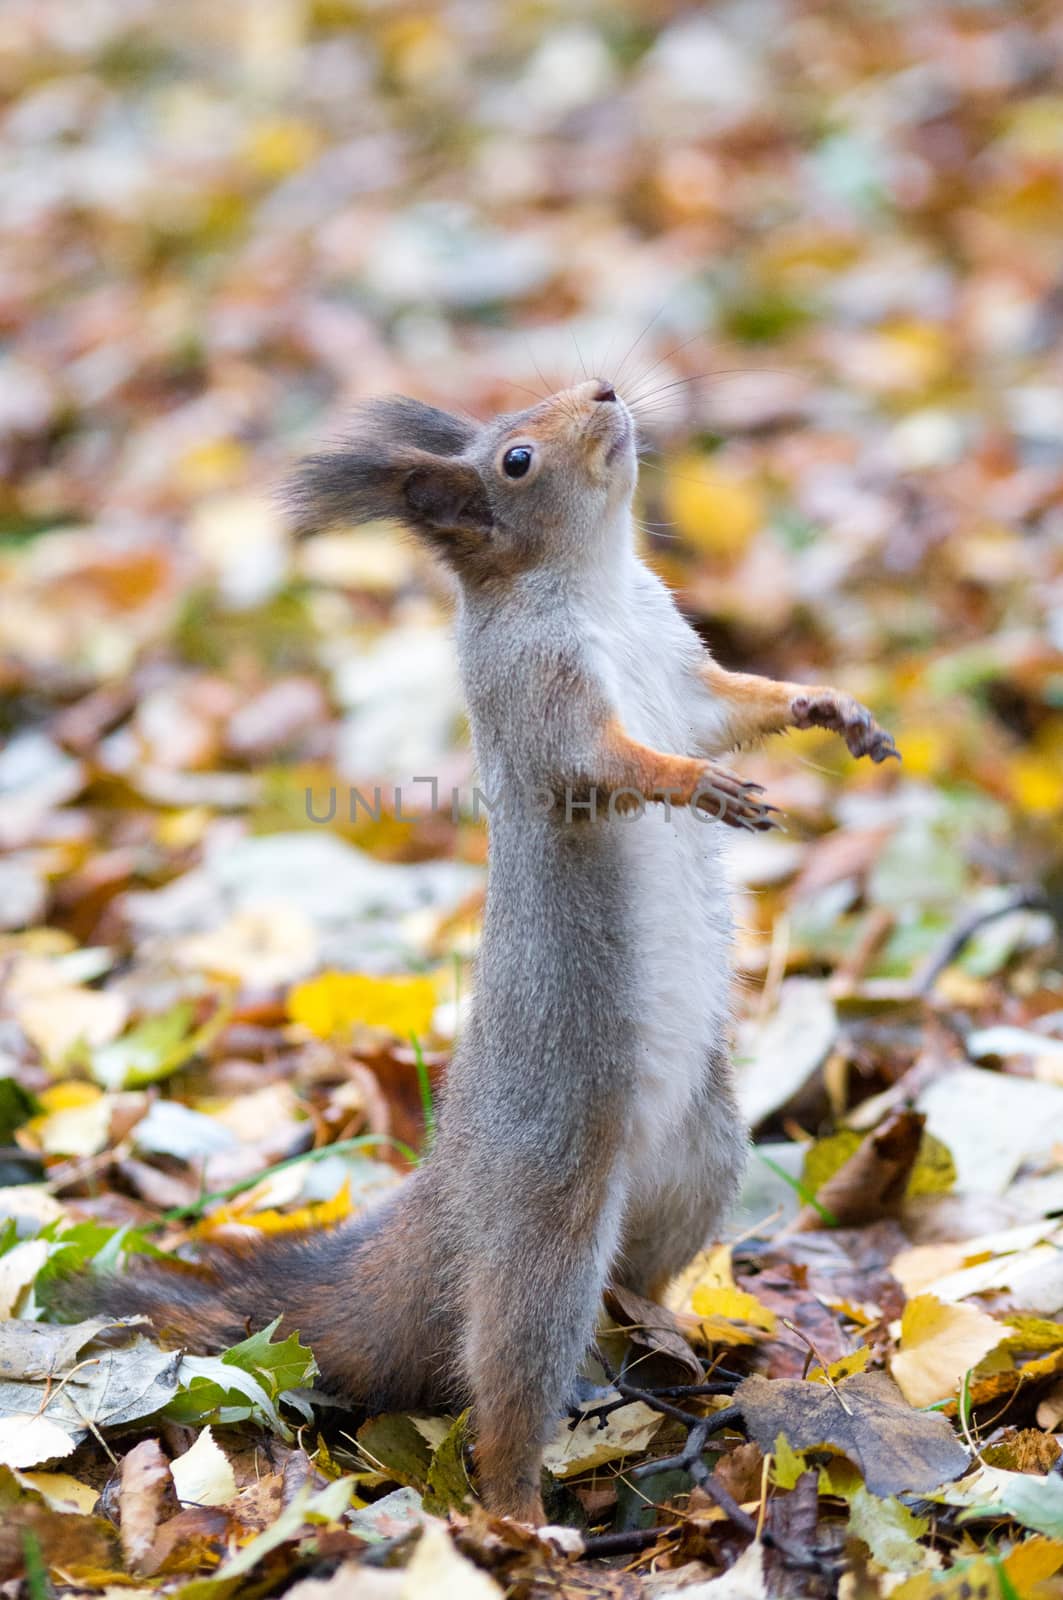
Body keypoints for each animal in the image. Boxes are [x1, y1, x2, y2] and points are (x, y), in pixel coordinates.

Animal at [60, 380, 896, 1516]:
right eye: (516, 459)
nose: (605, 389)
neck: (595, 583)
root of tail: (450, 1190)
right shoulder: (537, 696)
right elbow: (608, 761)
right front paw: (693, 787)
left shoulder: (684, 671)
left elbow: (736, 705)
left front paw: (827, 704)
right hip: (544, 1233)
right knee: (506, 1382)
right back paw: (523, 1516)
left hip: (697, 1164)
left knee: (637, 1281)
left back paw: (676, 1336)